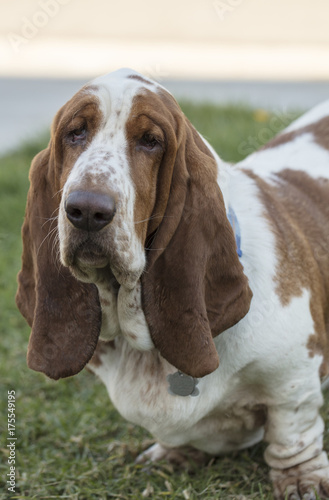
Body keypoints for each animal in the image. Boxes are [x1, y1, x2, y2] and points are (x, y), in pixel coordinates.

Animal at [16, 68, 328, 498]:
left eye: (151, 141)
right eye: (75, 133)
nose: (87, 210)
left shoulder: (293, 376)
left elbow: (291, 434)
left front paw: (301, 480)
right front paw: (176, 453)